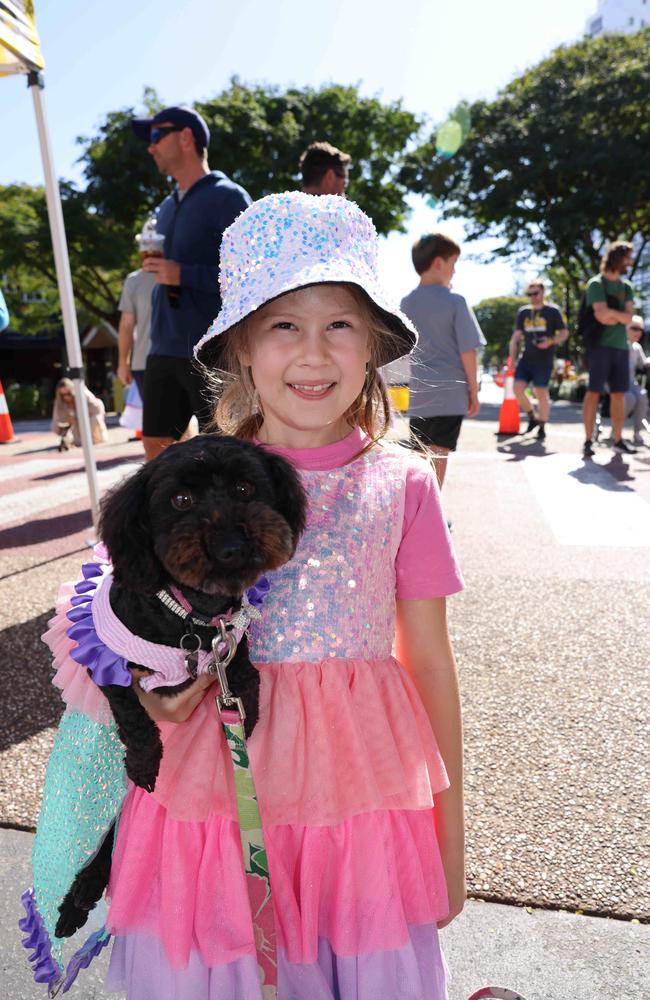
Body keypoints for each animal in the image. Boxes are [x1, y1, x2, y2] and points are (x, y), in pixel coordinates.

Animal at [56, 434, 306, 940]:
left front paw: (247, 729)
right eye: (181, 500)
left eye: (246, 488)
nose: (231, 545)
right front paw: (146, 766)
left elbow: (247, 681)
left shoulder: (233, 647)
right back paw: (79, 893)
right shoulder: (106, 664)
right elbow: (135, 721)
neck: (193, 616)